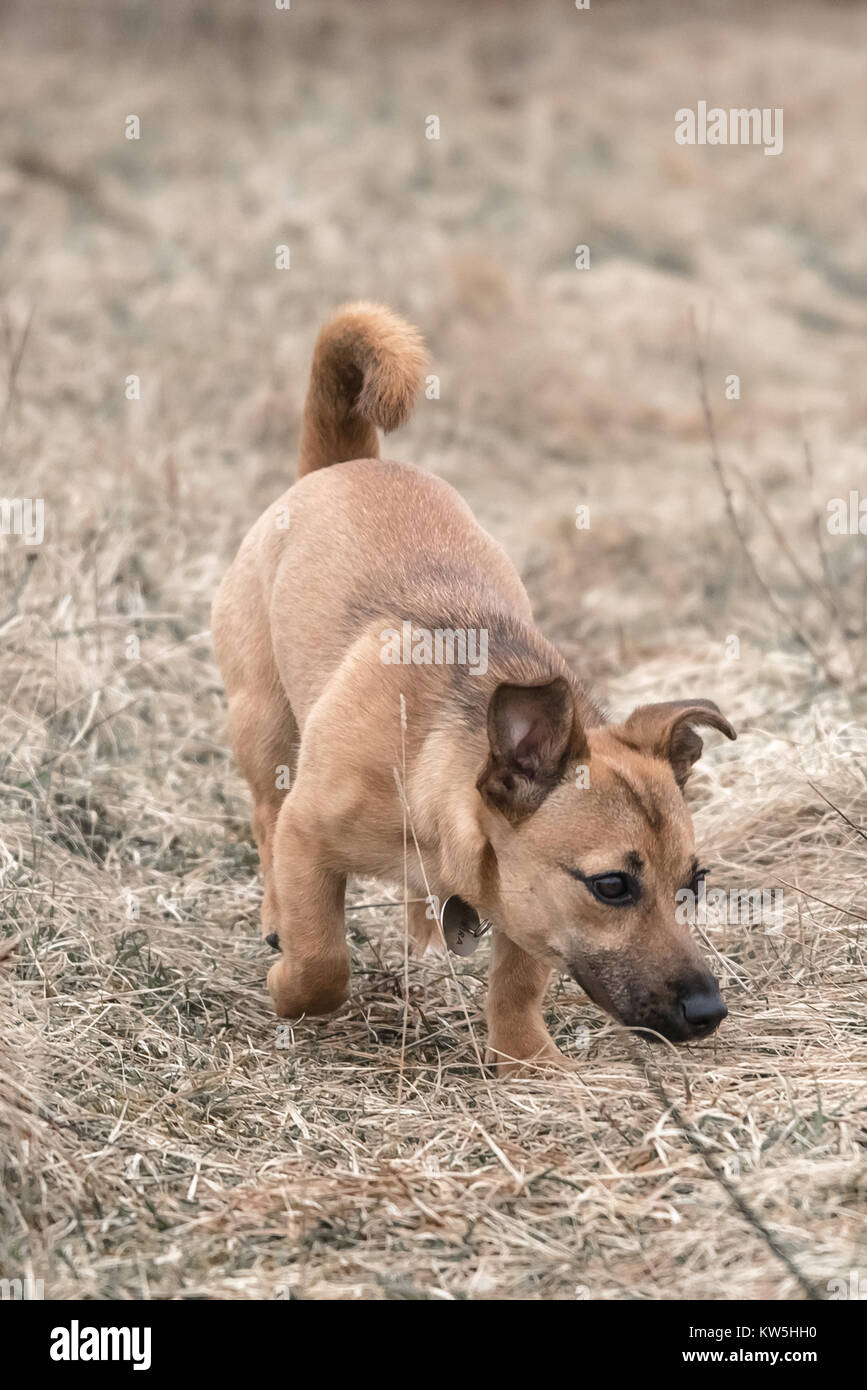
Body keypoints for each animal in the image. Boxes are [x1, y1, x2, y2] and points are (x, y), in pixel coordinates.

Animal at [213, 304, 733, 1073]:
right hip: (263, 726)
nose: (708, 1012)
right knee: (263, 817)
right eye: (612, 886)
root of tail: (346, 462)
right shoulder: (311, 838)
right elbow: (322, 961)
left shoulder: (523, 905)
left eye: (692, 883)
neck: (435, 773)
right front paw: (289, 988)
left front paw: (527, 1061)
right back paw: (278, 912)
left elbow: (518, 980)